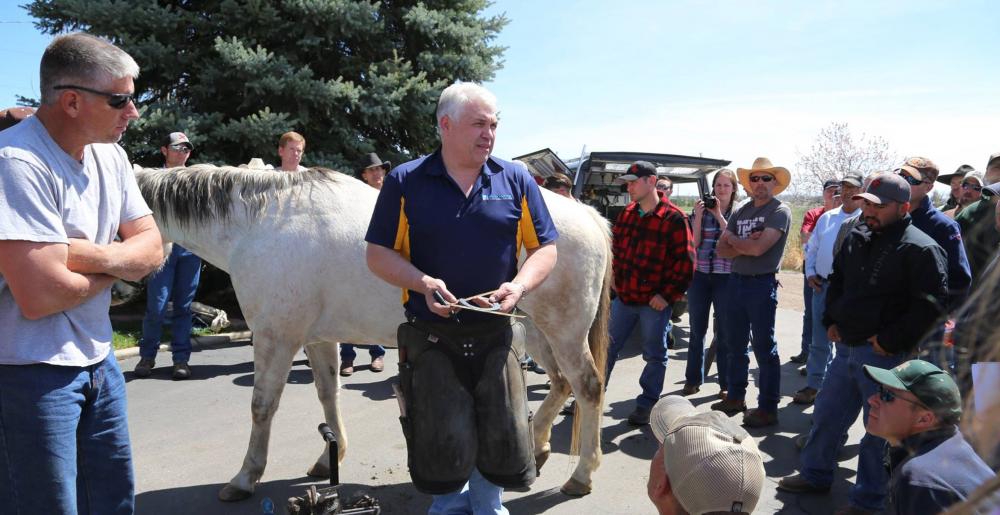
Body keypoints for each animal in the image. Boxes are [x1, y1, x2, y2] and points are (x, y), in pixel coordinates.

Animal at [137, 166, 612, 504]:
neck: (260, 225)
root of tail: (588, 215)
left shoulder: (275, 337)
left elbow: (261, 407)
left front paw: (245, 477)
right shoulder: (317, 339)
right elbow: (328, 395)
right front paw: (328, 457)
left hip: (564, 330)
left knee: (587, 387)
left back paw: (582, 475)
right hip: (535, 330)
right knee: (560, 383)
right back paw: (538, 447)